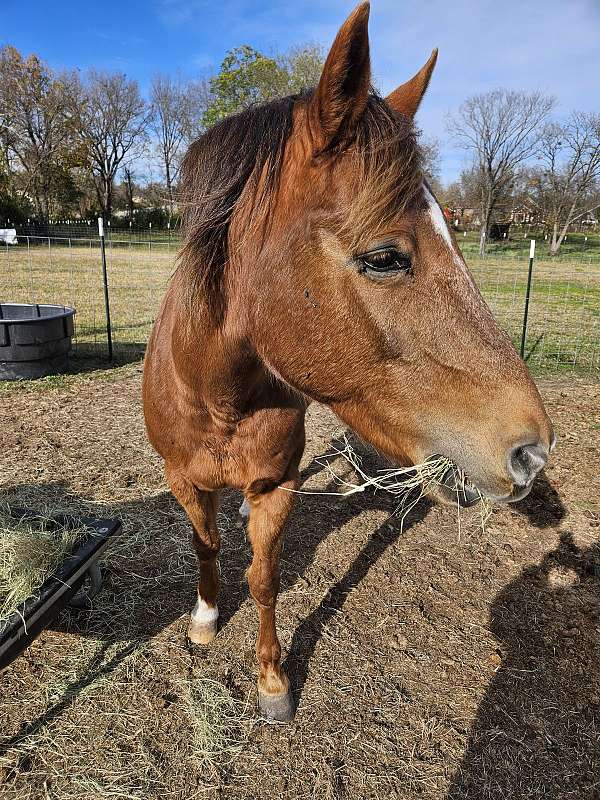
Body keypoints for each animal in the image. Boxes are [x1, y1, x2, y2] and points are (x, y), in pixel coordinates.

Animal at [143, 0, 556, 720]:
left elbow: (264, 576)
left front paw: (272, 681)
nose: (533, 452)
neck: (217, 397)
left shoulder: (276, 486)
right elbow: (207, 547)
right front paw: (203, 619)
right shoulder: (183, 481)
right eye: (385, 256)